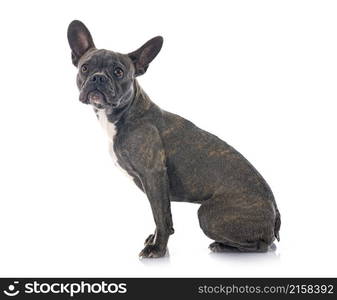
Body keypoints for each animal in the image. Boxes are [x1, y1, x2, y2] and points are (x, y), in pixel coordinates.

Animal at [67, 19, 278, 258]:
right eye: (85, 68)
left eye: (119, 71)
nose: (98, 77)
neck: (126, 113)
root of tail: (275, 214)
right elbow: (158, 215)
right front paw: (155, 241)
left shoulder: (154, 176)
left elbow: (162, 217)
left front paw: (157, 249)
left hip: (208, 214)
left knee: (262, 246)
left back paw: (223, 246)